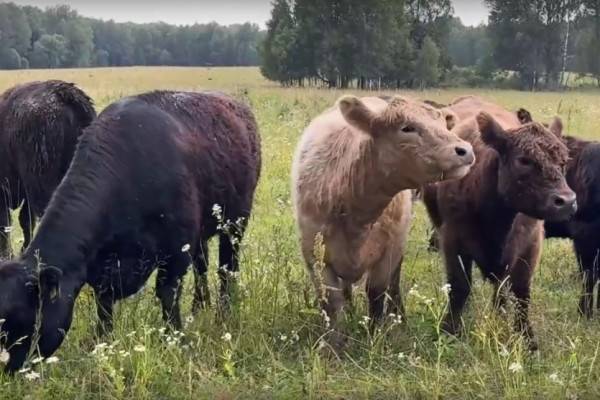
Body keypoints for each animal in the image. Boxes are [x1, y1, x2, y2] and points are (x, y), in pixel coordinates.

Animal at [0, 90, 260, 372]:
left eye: (22, 322)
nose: (9, 369)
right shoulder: (102, 269)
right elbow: (104, 306)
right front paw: (101, 342)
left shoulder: (176, 253)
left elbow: (168, 295)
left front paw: (175, 340)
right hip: (202, 234)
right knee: (202, 267)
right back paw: (200, 306)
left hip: (235, 223)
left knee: (227, 269)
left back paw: (224, 311)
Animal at [292, 95, 476, 346]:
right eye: (407, 128)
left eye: (442, 125)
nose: (465, 150)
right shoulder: (313, 254)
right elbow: (331, 301)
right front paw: (333, 344)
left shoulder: (388, 251)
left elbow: (376, 294)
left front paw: (374, 337)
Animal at [422, 97, 576, 350]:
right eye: (524, 160)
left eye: (563, 161)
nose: (567, 201)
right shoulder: (452, 241)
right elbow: (460, 286)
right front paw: (449, 331)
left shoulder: (530, 246)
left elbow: (521, 292)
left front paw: (527, 338)